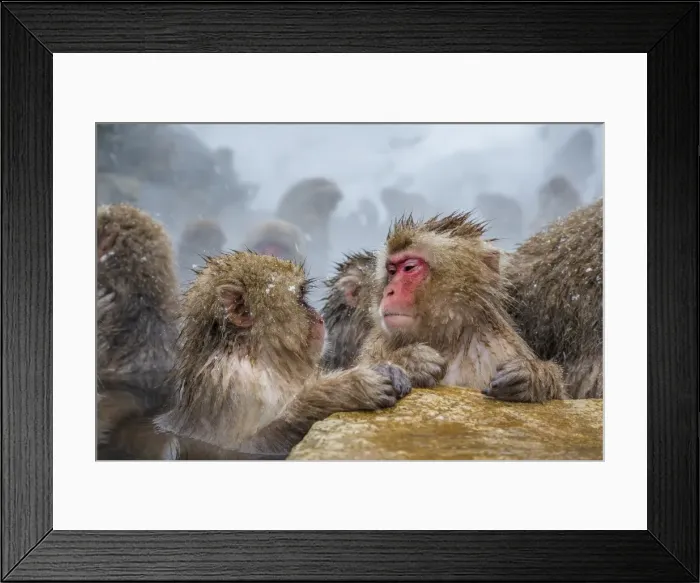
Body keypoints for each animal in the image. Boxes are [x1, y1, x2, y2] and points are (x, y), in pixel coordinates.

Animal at [147, 251, 411, 459]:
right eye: (301, 298)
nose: (318, 317)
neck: (264, 358)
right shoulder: (232, 383)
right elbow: (251, 445)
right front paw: (349, 388)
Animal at [357, 212, 565, 403]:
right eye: (392, 271)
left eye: (409, 267)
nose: (389, 292)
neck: (446, 337)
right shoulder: (376, 344)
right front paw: (410, 361)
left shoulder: (503, 347)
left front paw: (532, 377)